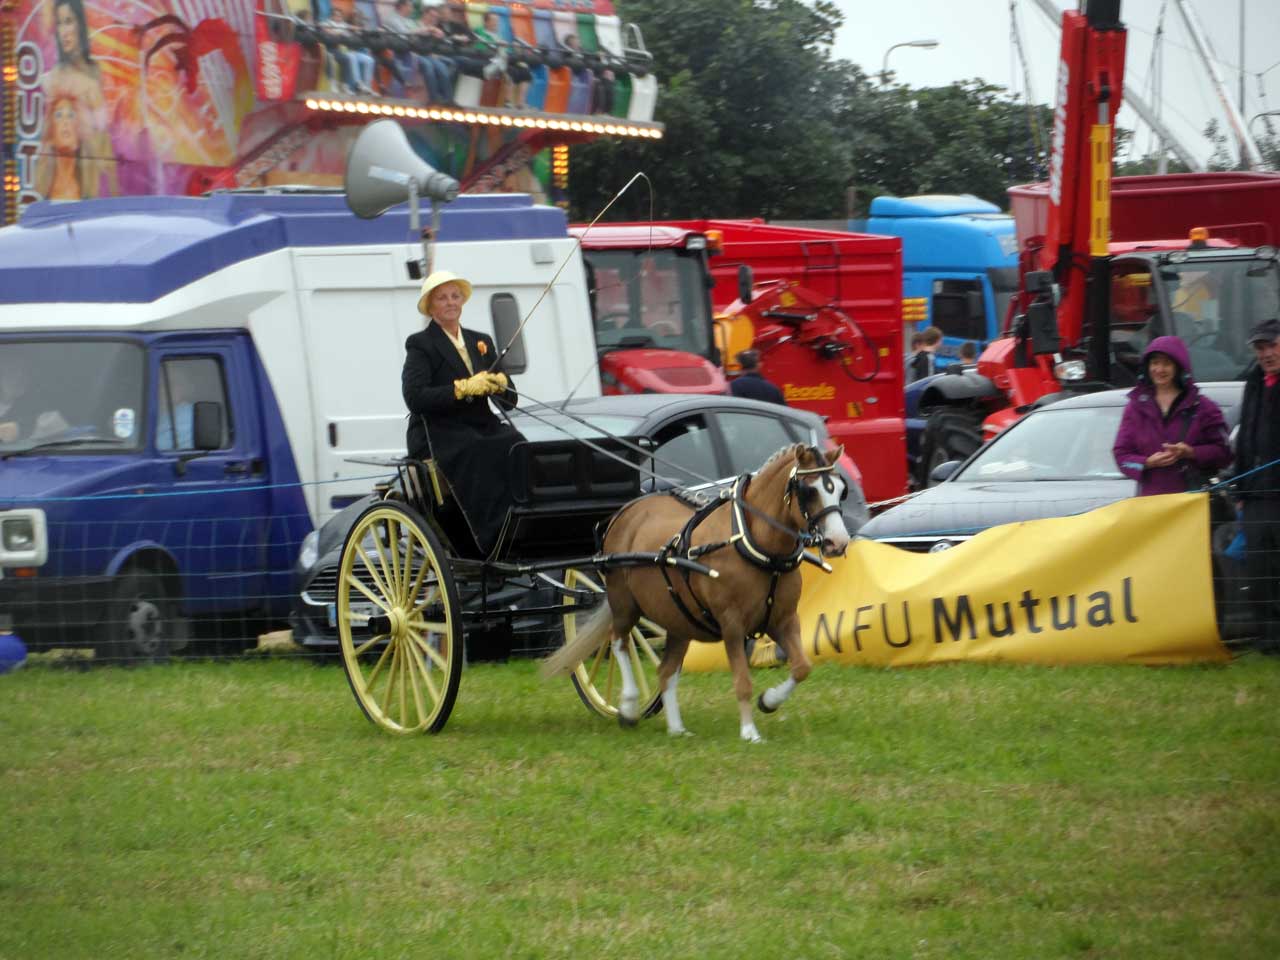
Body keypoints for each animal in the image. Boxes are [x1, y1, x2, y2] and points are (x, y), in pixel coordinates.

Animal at [542, 445, 849, 742]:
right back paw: (628, 707)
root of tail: (626, 512)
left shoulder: (783, 619)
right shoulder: (732, 624)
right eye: (809, 490)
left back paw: (677, 729)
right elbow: (743, 681)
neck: (753, 543)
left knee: (665, 671)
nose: (838, 542)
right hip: (624, 602)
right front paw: (749, 731)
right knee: (619, 641)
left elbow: (802, 667)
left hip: (679, 619)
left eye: (840, 489)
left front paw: (769, 701)